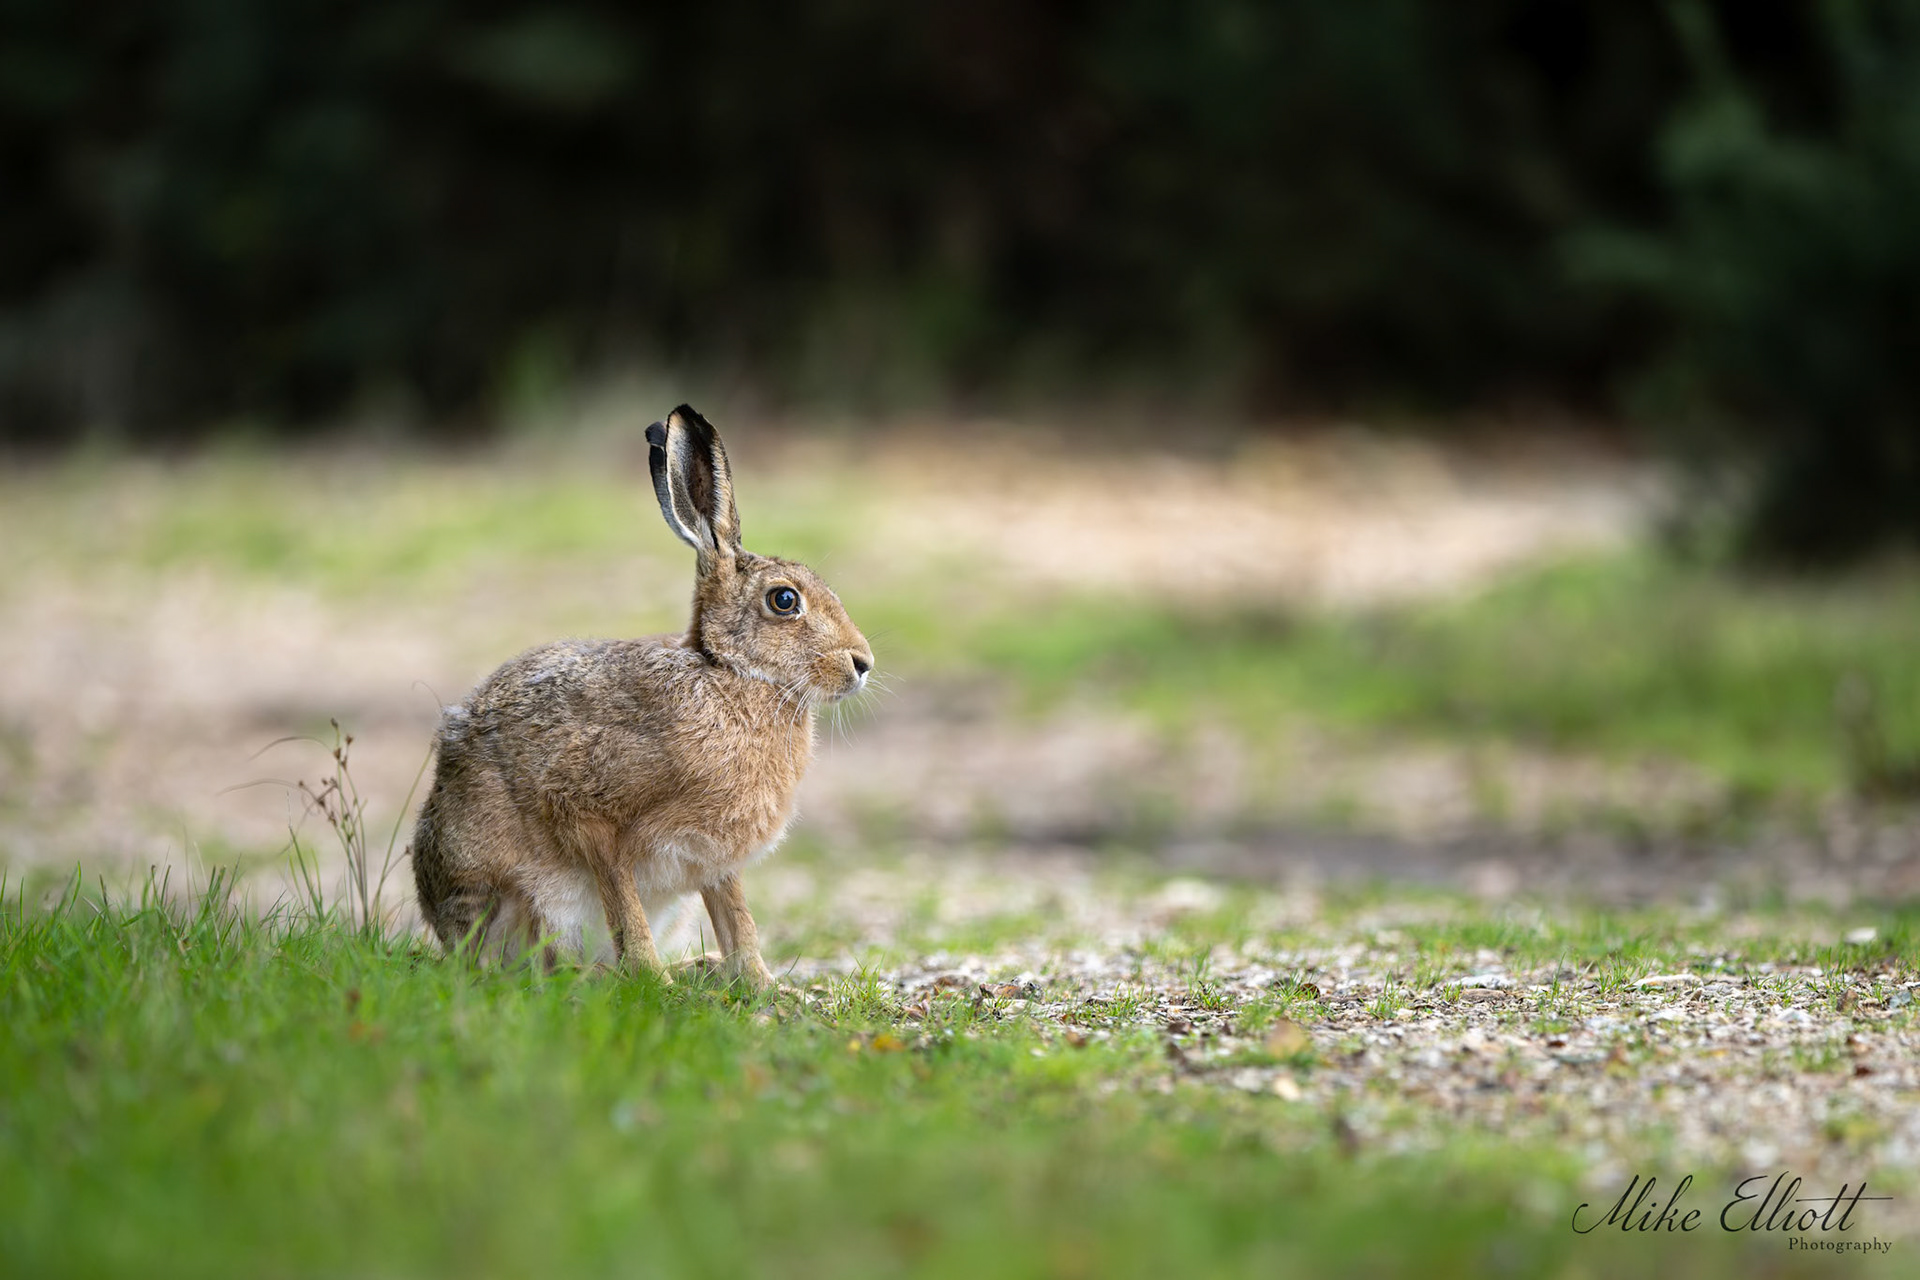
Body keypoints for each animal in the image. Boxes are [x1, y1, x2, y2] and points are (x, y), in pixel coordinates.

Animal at [410, 404, 873, 987]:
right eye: (784, 601)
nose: (862, 663)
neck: (729, 675)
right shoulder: (586, 814)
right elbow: (624, 904)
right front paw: (655, 981)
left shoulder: (714, 860)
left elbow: (736, 915)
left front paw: (761, 982)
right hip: (510, 892)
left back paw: (703, 969)